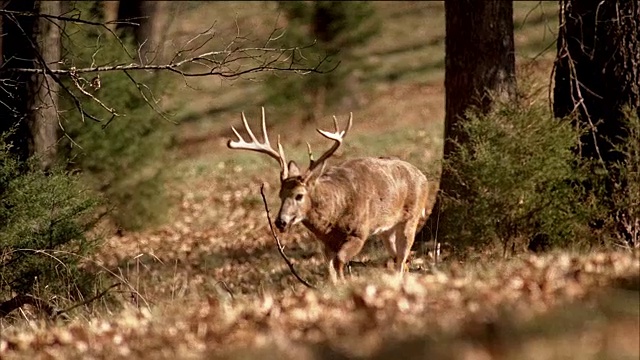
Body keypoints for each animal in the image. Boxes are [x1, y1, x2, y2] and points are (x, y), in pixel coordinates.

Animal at [228, 108, 432, 282]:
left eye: (299, 195)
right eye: (280, 195)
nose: (280, 222)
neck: (333, 217)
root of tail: (423, 177)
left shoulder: (359, 232)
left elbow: (340, 262)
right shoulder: (325, 243)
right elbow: (330, 269)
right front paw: (336, 284)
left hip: (411, 217)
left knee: (402, 257)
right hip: (386, 229)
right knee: (399, 259)